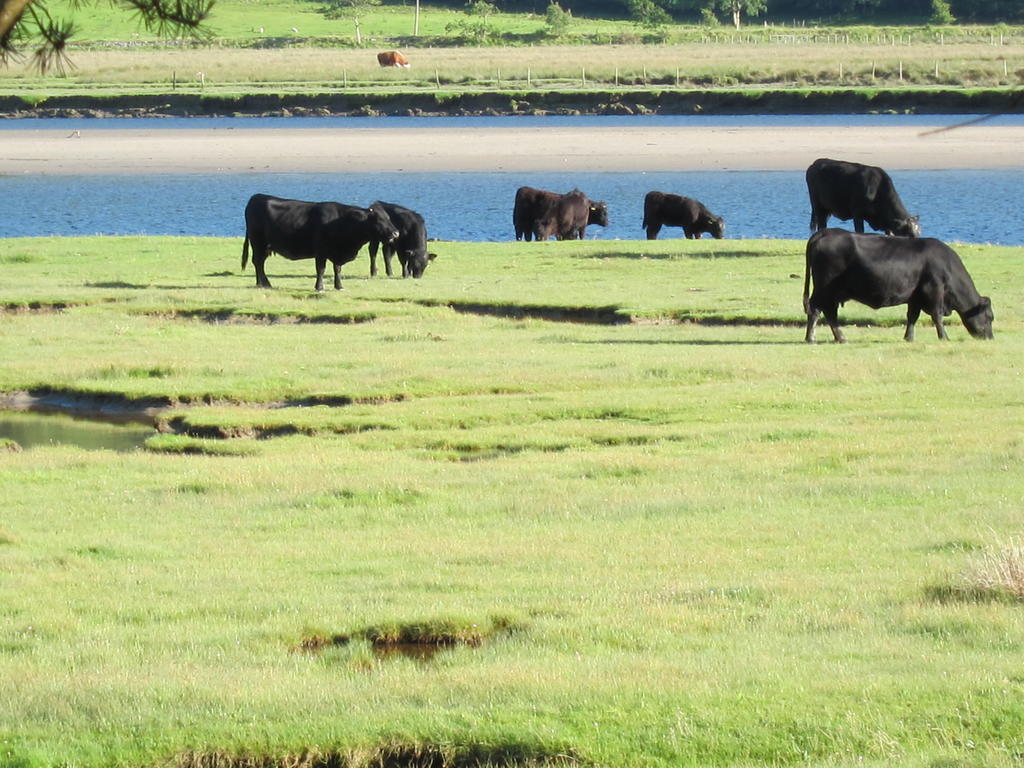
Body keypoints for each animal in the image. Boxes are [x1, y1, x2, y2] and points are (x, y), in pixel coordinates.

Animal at [240, 195, 399, 290]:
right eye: (379, 220)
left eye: (389, 218)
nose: (396, 233)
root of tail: (256, 197)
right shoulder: (321, 251)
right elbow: (321, 269)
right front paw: (319, 287)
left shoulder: (336, 252)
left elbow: (337, 269)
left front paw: (339, 286)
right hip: (258, 243)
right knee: (258, 262)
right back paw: (266, 283)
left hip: (263, 246)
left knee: (258, 263)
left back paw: (260, 283)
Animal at [806, 228, 991, 342]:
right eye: (989, 317)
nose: (990, 337)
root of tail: (825, 232)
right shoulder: (934, 290)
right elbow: (936, 315)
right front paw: (944, 337)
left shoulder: (916, 296)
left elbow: (912, 316)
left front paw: (909, 338)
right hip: (824, 289)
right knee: (817, 309)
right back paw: (812, 338)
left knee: (828, 312)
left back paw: (839, 338)